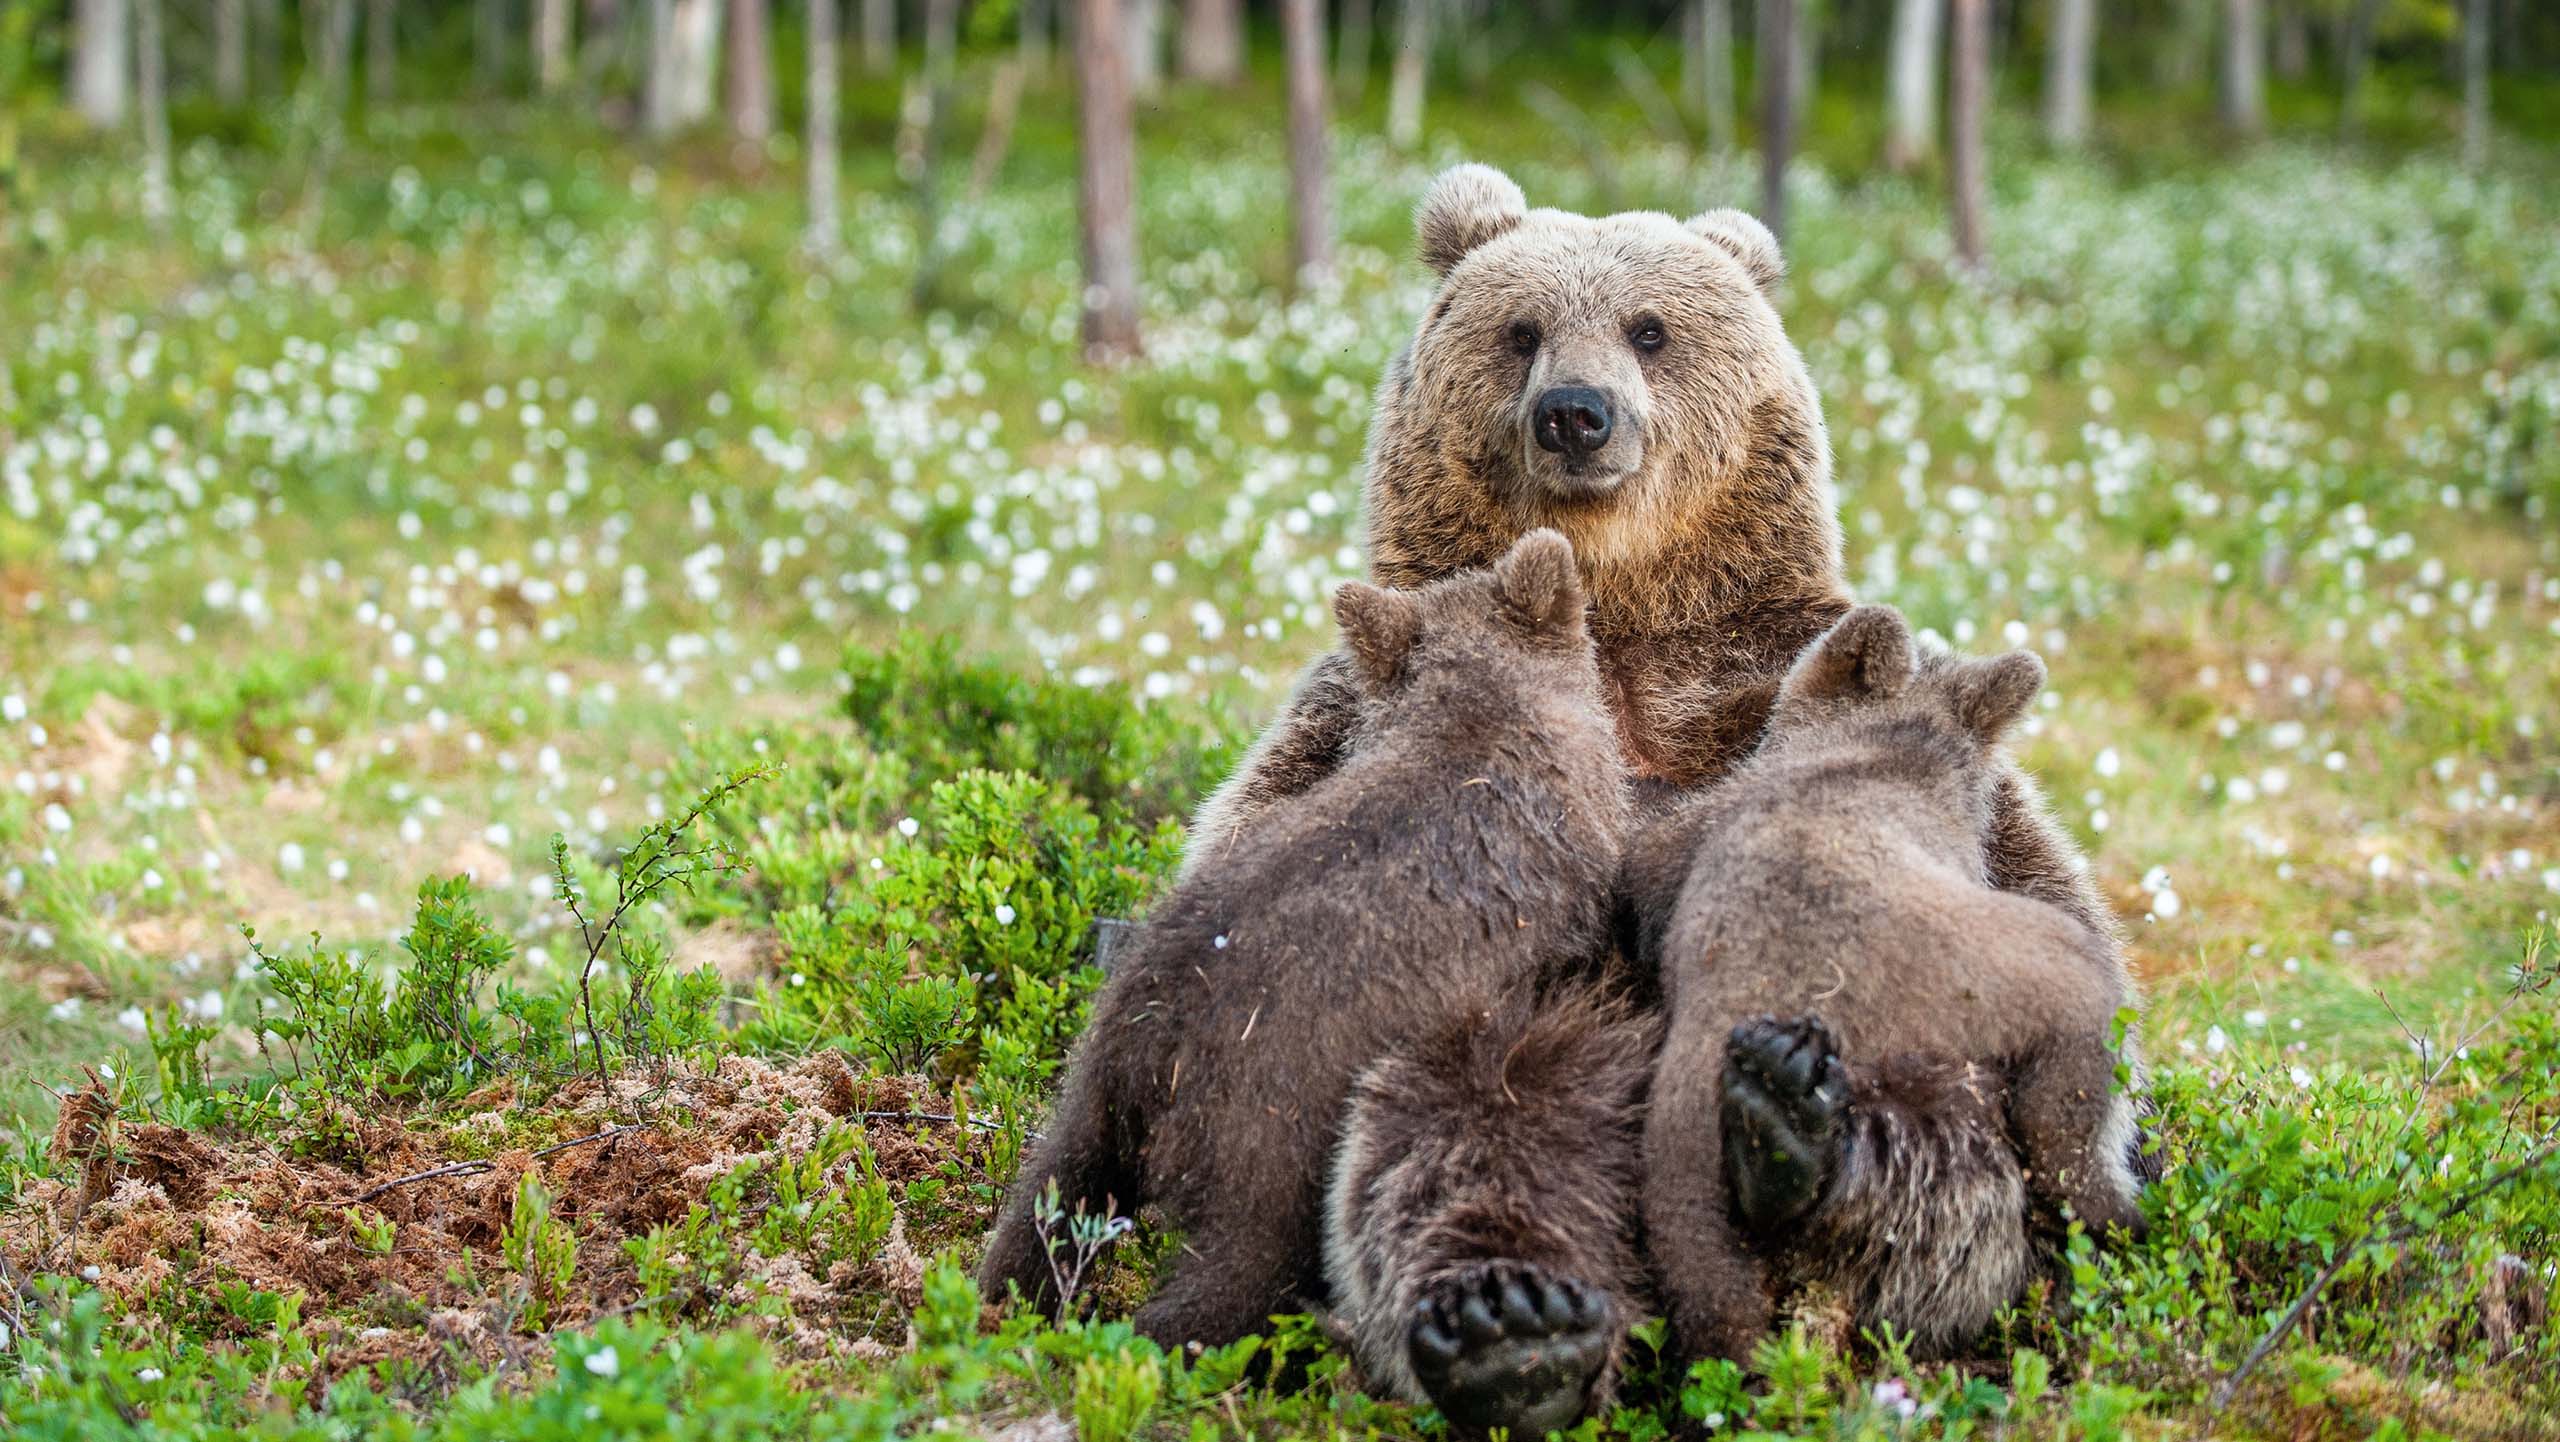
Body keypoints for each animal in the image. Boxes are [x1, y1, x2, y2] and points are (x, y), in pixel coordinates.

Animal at [976, 529, 1633, 1356]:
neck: (1479, 714)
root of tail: (1151, 1059)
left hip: (1092, 1089)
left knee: (1043, 1203)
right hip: (1270, 1137)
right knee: (1231, 1275)